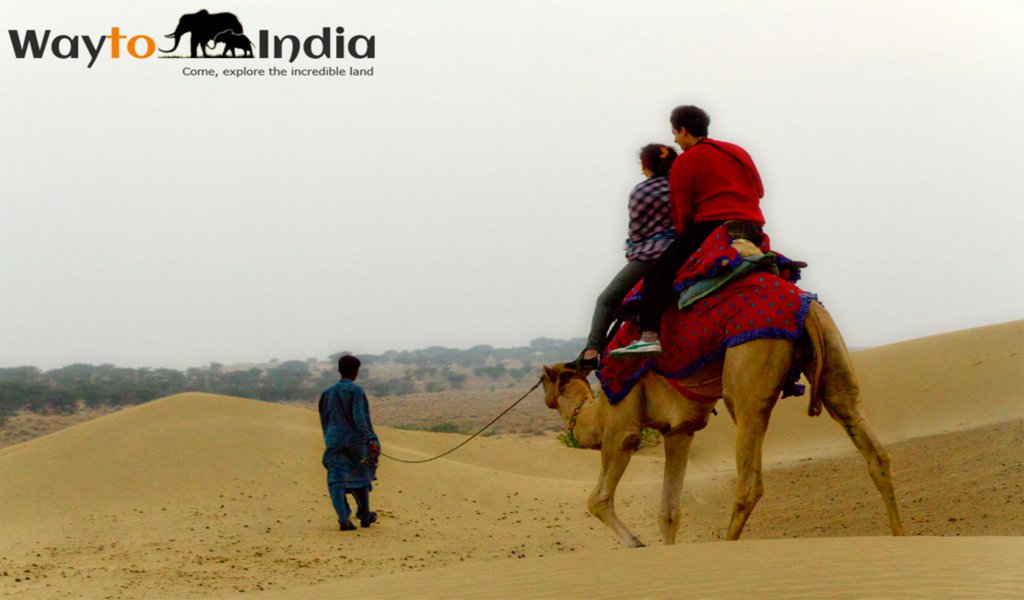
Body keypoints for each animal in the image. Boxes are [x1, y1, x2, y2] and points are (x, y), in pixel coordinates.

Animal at [544, 301, 905, 544]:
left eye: (544, 382)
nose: (546, 395)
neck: (596, 412)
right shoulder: (680, 431)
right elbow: (668, 512)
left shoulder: (622, 424)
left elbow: (598, 499)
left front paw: (637, 544)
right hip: (833, 356)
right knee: (874, 450)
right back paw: (900, 535)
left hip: (747, 378)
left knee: (749, 484)